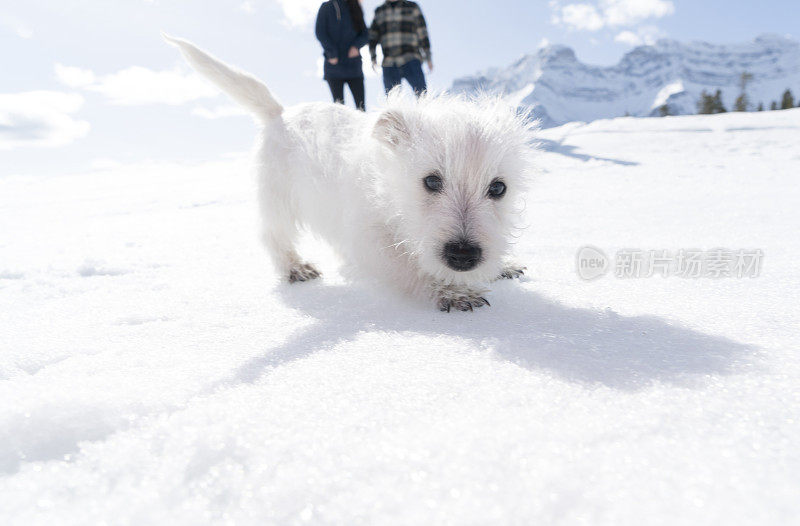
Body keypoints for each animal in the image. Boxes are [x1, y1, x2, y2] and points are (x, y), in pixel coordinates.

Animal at [166, 37, 536, 314]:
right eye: (431, 181)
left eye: (498, 188)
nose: (463, 255)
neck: (389, 193)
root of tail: (279, 112)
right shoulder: (371, 241)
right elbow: (408, 268)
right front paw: (452, 291)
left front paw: (500, 267)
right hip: (278, 197)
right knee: (273, 235)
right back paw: (294, 267)